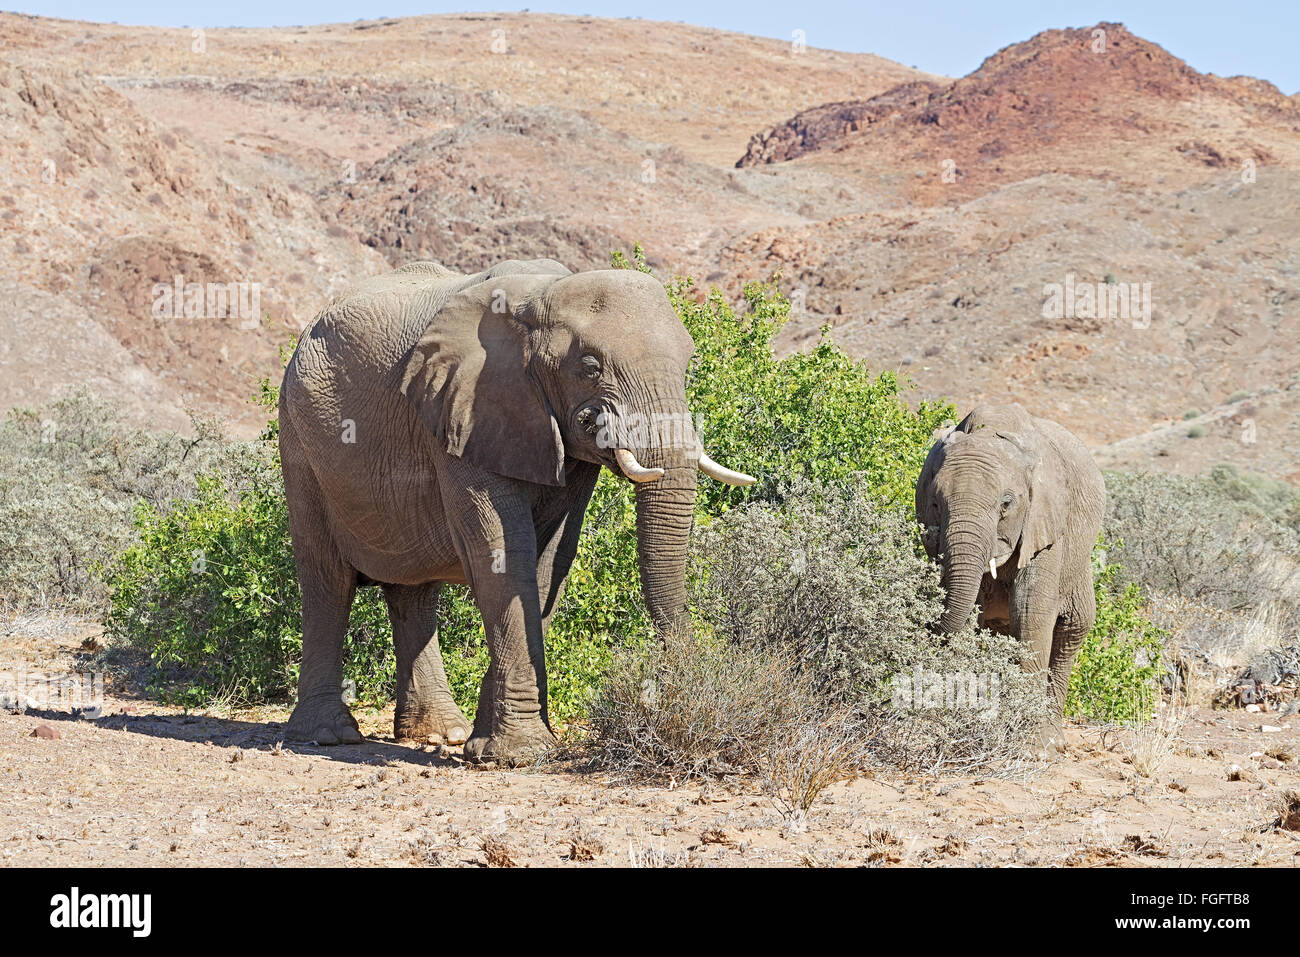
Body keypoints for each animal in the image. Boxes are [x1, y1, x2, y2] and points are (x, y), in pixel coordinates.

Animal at [279, 257, 759, 764]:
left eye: (689, 366)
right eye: (590, 366)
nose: (682, 689)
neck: (542, 296)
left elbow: (550, 560)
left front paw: (489, 748)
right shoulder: (464, 408)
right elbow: (503, 555)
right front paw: (521, 753)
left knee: (414, 592)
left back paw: (442, 733)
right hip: (299, 440)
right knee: (327, 580)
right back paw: (328, 735)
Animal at [915, 403, 1107, 748]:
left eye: (1006, 504)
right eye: (935, 503)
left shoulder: (1045, 521)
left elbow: (1030, 611)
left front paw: (1036, 750)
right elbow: (971, 610)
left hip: (1078, 565)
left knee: (1072, 630)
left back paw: (1054, 739)